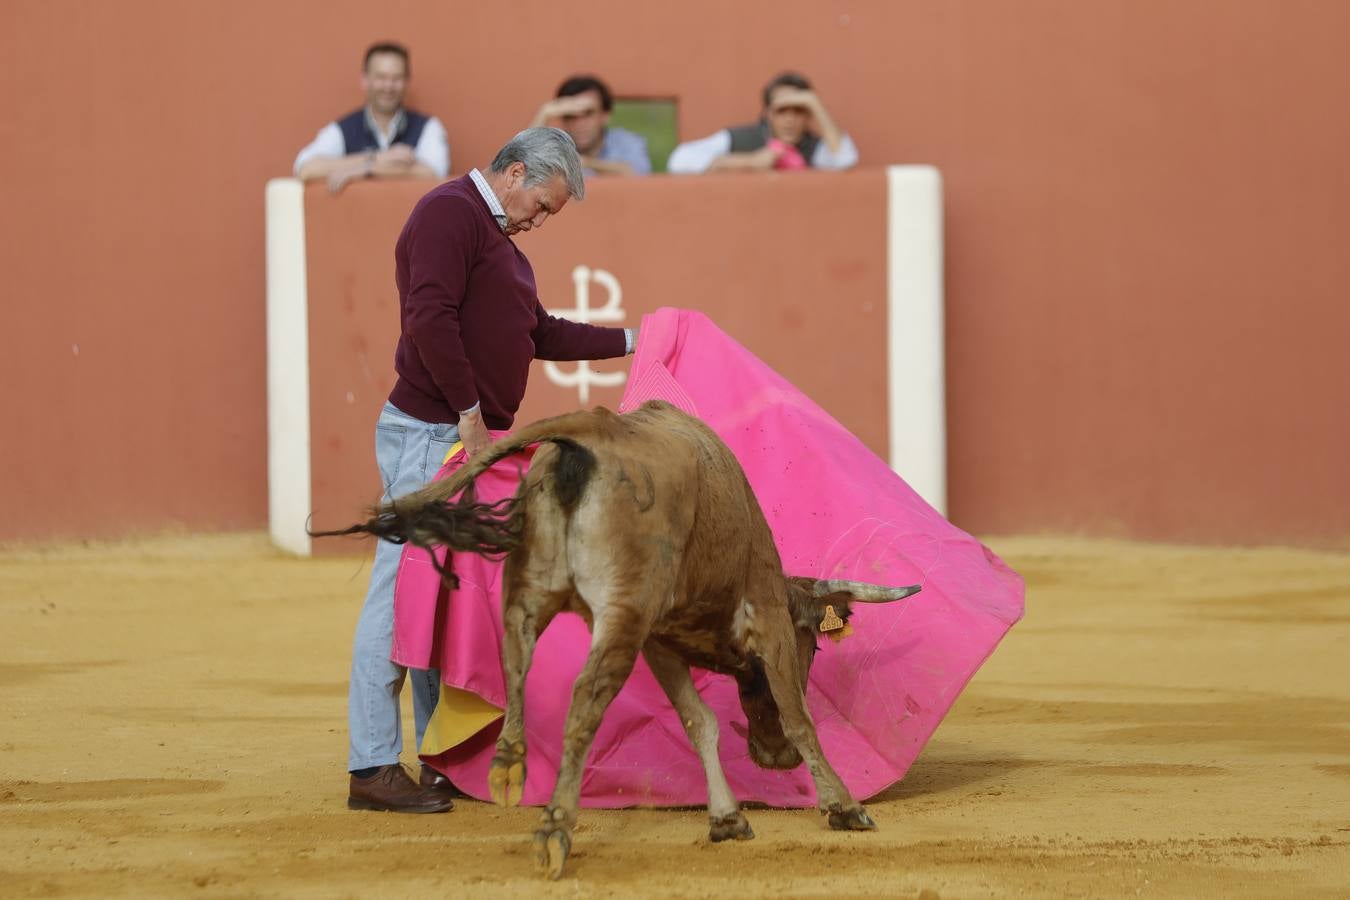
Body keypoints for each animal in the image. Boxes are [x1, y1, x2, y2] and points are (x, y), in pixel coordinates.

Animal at [321, 402, 923, 879]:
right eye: (813, 647)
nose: (773, 759)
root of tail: (591, 430)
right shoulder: (765, 618)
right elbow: (799, 718)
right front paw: (844, 808)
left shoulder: (658, 640)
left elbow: (698, 723)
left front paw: (728, 818)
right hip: (619, 614)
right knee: (584, 701)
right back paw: (554, 831)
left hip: (531, 594)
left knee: (515, 661)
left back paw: (508, 768)